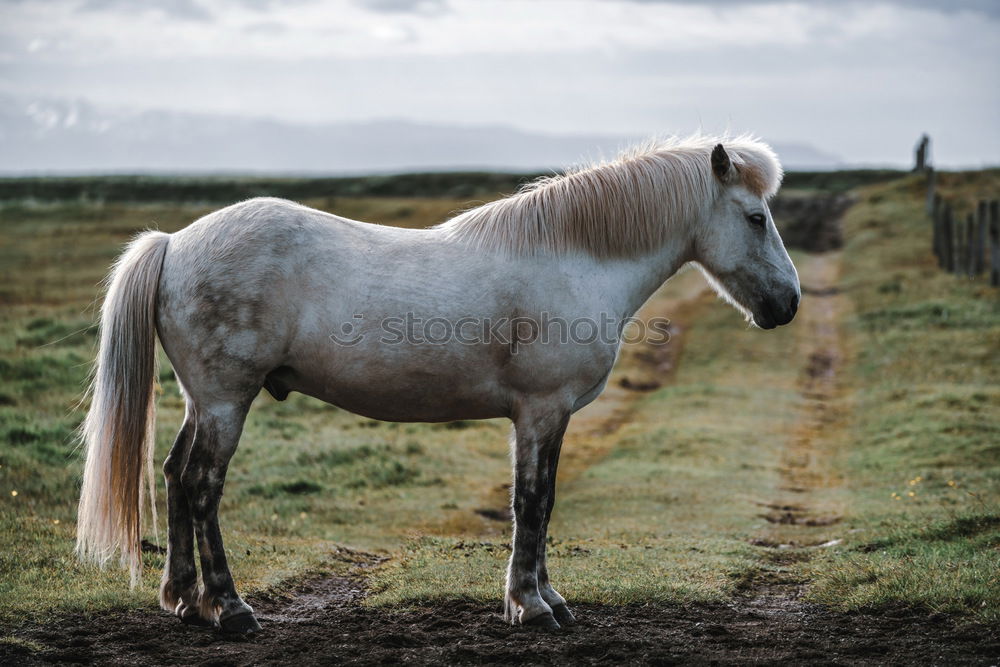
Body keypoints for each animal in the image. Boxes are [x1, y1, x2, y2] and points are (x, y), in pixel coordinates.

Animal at [74, 134, 800, 632]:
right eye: (756, 217)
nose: (788, 304)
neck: (573, 257)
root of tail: (175, 242)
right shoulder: (541, 411)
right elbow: (532, 501)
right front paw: (531, 605)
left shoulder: (550, 417)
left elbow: (542, 502)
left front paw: (546, 597)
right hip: (227, 400)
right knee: (201, 485)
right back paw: (230, 607)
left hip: (203, 401)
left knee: (174, 475)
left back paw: (183, 600)